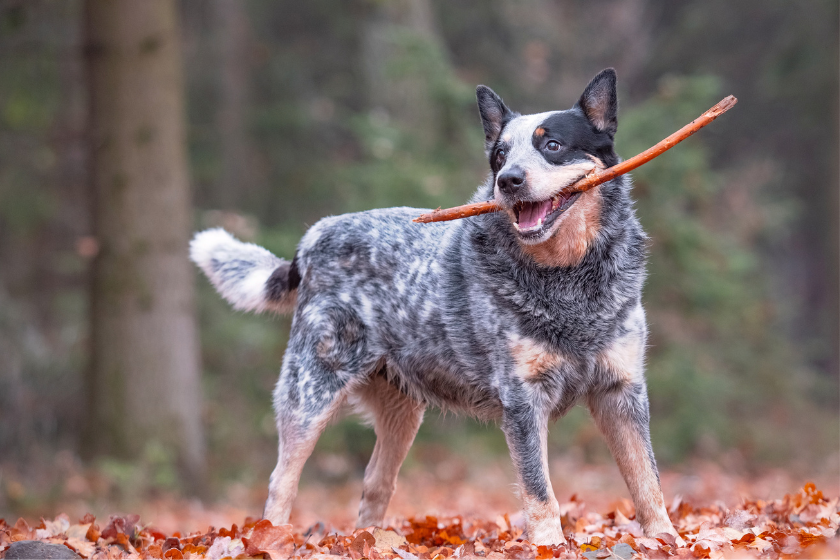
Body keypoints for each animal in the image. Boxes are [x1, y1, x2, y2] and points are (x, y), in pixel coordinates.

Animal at [190, 68, 676, 544]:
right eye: (500, 156)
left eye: (552, 145)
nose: (508, 181)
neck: (569, 277)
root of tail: (314, 237)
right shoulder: (523, 400)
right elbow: (540, 491)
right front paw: (549, 546)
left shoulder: (622, 391)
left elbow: (647, 480)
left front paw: (665, 539)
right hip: (311, 393)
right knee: (281, 481)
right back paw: (270, 536)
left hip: (401, 411)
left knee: (376, 483)